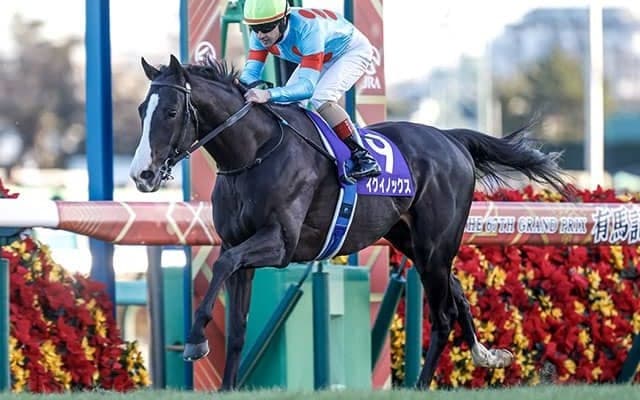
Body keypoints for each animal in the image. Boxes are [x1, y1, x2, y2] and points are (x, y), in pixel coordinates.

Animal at [129, 55, 567, 390]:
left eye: (171, 111)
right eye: (140, 111)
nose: (141, 175)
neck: (253, 154)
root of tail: (451, 139)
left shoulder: (280, 243)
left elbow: (222, 266)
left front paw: (194, 341)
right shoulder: (238, 245)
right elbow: (236, 325)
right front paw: (225, 384)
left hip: (435, 247)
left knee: (443, 315)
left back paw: (422, 384)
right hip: (412, 242)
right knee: (457, 294)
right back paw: (487, 355)